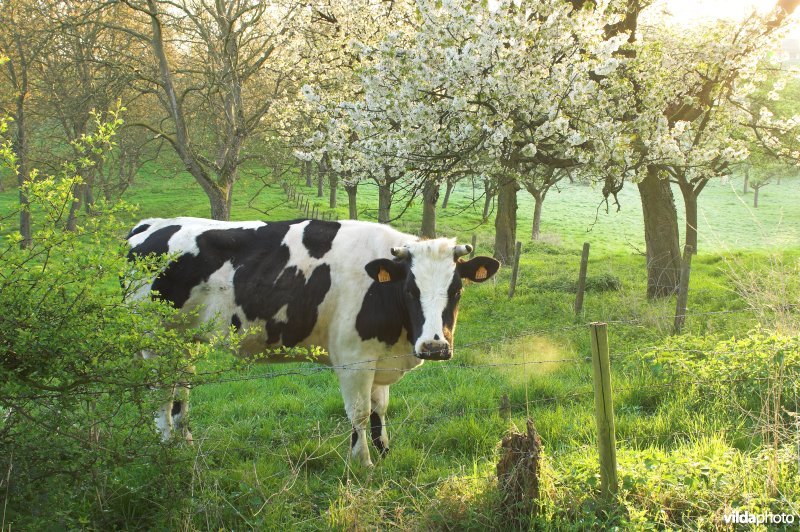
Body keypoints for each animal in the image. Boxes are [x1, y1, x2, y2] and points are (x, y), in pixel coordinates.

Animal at [127, 216, 496, 466]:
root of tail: (151, 224)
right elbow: (360, 413)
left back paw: (185, 443)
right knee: (161, 395)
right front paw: (363, 462)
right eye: (409, 290)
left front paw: (384, 452)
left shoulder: (379, 357)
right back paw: (166, 446)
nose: (435, 346)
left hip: (184, 341)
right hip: (155, 341)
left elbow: (380, 409)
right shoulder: (353, 358)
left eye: (456, 289)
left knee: (181, 389)